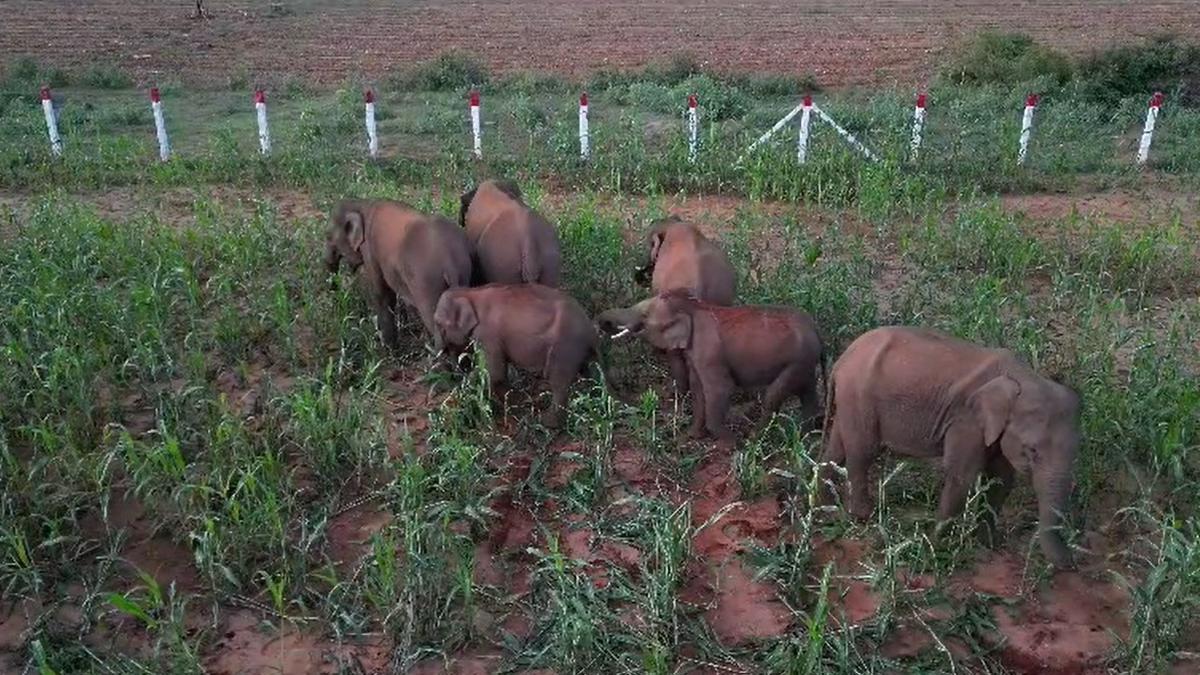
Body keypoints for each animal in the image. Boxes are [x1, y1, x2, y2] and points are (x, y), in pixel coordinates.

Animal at [325, 199, 473, 351]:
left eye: (328, 236)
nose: (335, 296)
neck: (362, 204)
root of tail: (450, 262)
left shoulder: (370, 252)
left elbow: (382, 295)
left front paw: (388, 347)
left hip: (428, 285)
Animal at [433, 283, 598, 429]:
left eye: (438, 323)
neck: (469, 292)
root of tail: (589, 326)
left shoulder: (487, 335)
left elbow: (492, 371)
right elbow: (499, 373)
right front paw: (515, 401)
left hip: (565, 345)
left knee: (558, 382)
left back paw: (547, 422)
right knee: (587, 371)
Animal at [598, 290, 824, 441]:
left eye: (644, 317)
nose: (601, 325)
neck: (693, 306)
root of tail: (815, 327)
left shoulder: (708, 351)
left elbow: (720, 388)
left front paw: (732, 443)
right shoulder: (696, 354)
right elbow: (698, 389)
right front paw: (690, 437)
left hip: (798, 360)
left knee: (773, 396)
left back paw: (754, 438)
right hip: (806, 362)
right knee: (808, 392)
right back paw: (806, 436)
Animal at [819, 326, 1080, 569]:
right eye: (1032, 451)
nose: (1070, 562)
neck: (1024, 377)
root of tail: (842, 359)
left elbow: (1000, 480)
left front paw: (988, 545)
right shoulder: (967, 419)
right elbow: (962, 475)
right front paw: (935, 547)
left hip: (850, 399)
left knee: (837, 450)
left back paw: (825, 504)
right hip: (859, 396)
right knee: (862, 453)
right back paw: (863, 515)